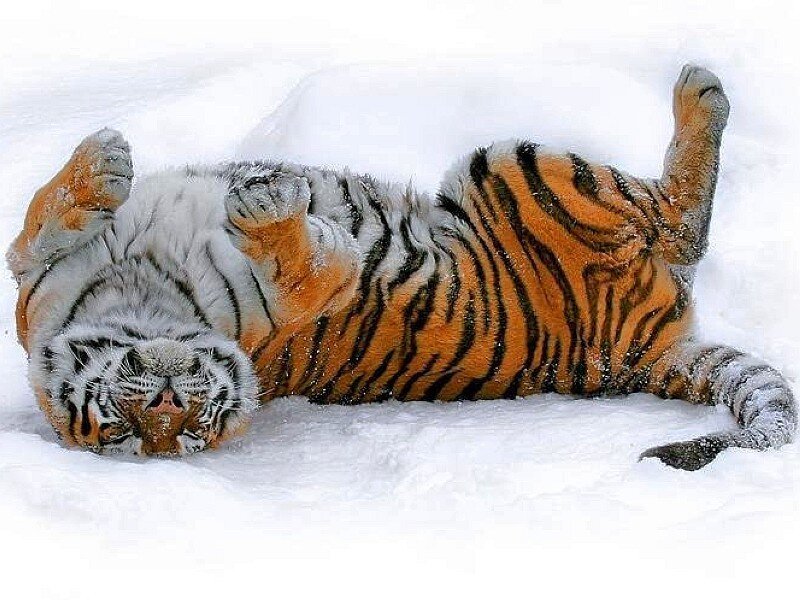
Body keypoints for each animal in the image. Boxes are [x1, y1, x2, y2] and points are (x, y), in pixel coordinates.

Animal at [7, 64, 796, 470]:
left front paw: (104, 163)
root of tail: (640, 356)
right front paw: (268, 204)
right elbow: (316, 262)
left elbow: (34, 228)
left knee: (681, 223)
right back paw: (702, 87)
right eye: (126, 433)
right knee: (678, 220)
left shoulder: (38, 285)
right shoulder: (307, 290)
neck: (141, 295)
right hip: (519, 171)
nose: (172, 409)